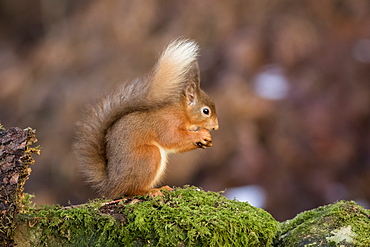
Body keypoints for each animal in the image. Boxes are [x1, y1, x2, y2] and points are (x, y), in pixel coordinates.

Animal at [75, 38, 220, 199]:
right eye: (206, 111)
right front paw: (202, 134)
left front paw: (205, 140)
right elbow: (172, 139)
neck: (181, 112)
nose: (216, 127)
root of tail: (112, 185)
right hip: (149, 156)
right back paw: (151, 191)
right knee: (131, 191)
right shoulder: (167, 122)